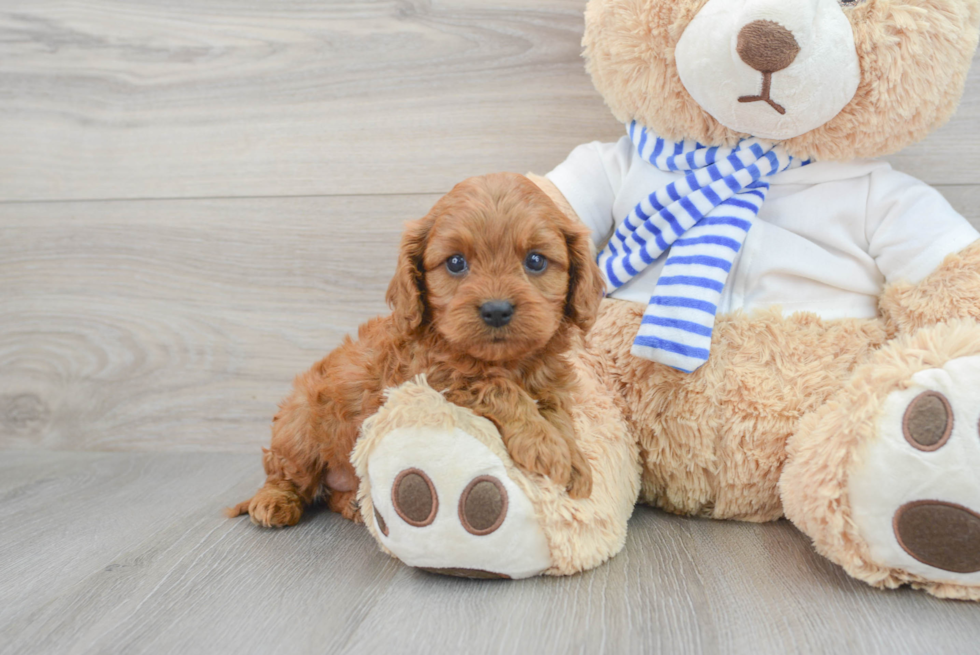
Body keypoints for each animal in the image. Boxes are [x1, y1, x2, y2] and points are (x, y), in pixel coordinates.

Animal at [229, 170, 604, 528]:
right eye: (455, 263)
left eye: (536, 261)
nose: (496, 310)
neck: (506, 362)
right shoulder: (434, 378)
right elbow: (498, 388)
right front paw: (547, 447)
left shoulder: (551, 386)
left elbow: (558, 414)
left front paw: (573, 457)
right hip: (300, 425)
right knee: (288, 473)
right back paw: (273, 501)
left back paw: (354, 503)